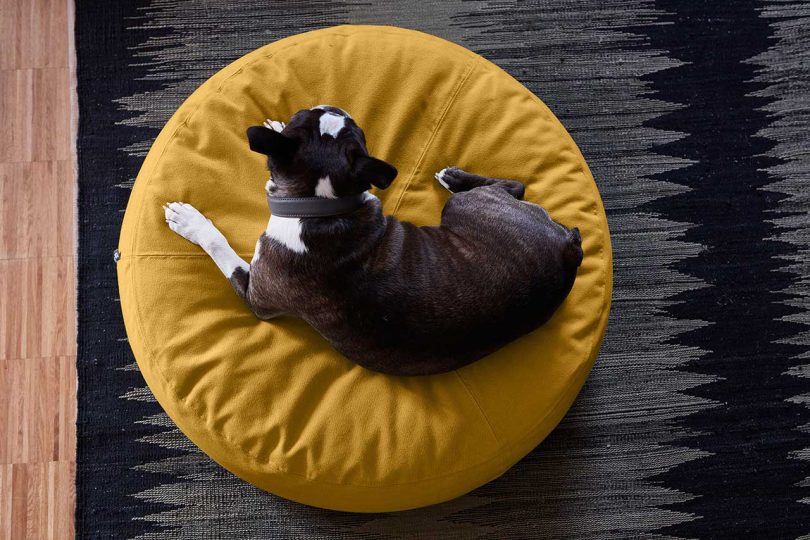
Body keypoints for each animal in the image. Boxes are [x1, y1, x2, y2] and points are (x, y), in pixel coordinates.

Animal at [164, 105, 580, 376]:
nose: (332, 103)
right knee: (518, 187)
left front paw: (191, 222)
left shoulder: (257, 296)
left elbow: (221, 247)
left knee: (513, 185)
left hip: (465, 207)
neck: (317, 206)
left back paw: (454, 178)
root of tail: (569, 248)